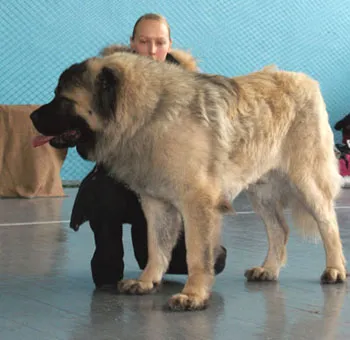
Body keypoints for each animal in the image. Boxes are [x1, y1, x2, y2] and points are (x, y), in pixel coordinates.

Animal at [30, 52, 348, 310]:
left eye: (63, 100)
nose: (32, 116)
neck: (148, 115)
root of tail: (306, 81)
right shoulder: (156, 203)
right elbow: (156, 246)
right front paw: (147, 281)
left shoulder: (197, 203)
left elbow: (197, 253)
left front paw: (193, 295)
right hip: (261, 191)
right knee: (279, 229)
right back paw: (268, 269)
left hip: (306, 181)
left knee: (328, 224)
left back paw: (335, 269)